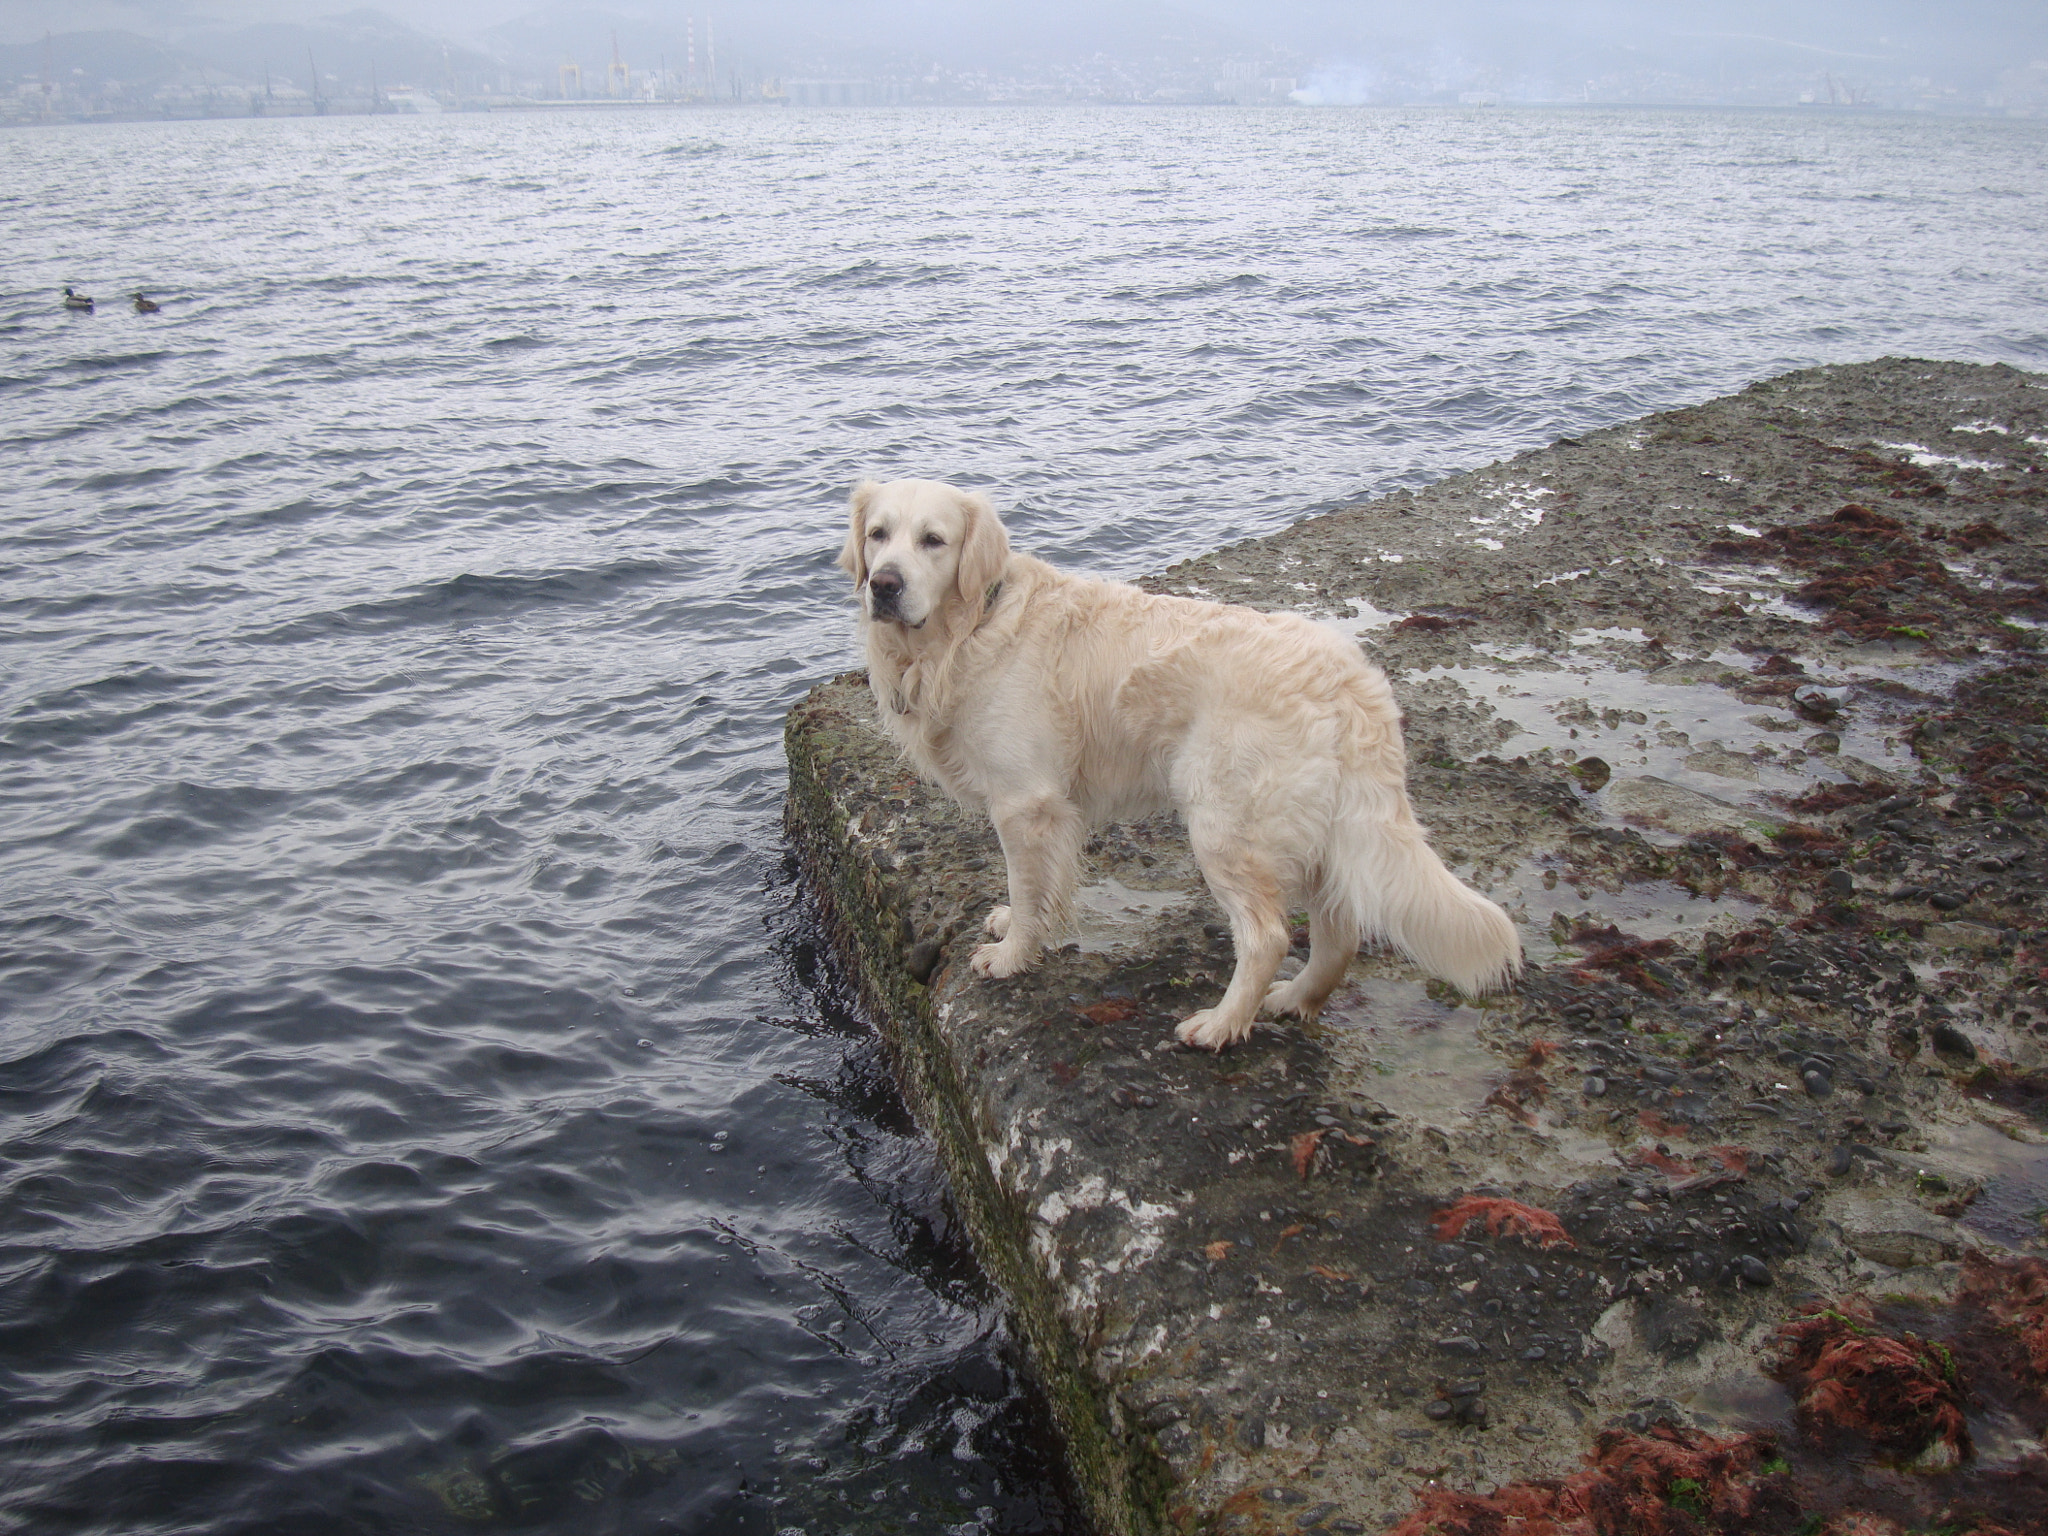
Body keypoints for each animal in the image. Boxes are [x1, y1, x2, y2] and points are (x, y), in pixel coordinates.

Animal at [831, 481, 1523, 1056]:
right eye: (878, 534)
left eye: (934, 540)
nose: (883, 585)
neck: (970, 626)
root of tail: (1349, 679)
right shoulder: (1046, 807)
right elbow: (1041, 887)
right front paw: (1014, 924)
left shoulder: (1024, 801)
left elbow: (1028, 887)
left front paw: (1010, 954)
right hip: (1316, 829)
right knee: (1339, 934)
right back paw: (1294, 1000)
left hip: (1224, 822)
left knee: (1269, 937)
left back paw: (1222, 1025)